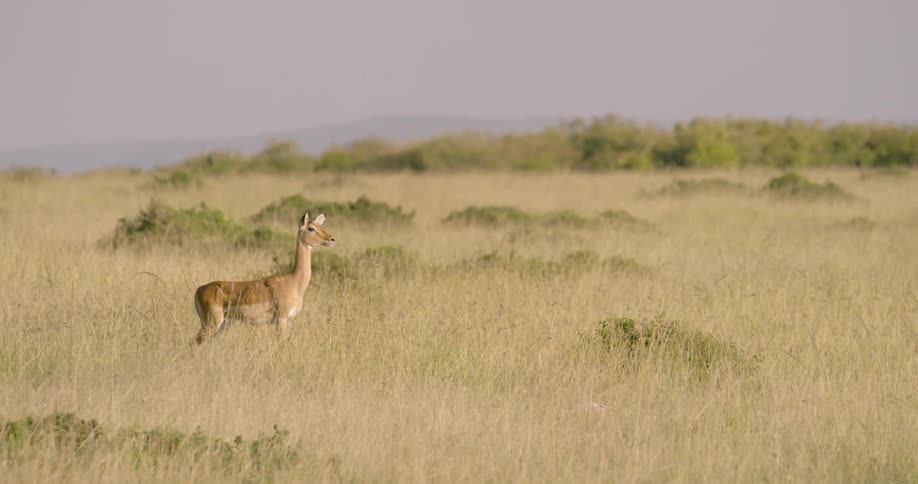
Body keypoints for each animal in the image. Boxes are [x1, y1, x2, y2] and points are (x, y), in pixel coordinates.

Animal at [192, 212, 336, 345]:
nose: (332, 239)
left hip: (222, 325)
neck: (294, 282)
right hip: (211, 323)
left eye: (320, 226)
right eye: (311, 228)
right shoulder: (281, 319)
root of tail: (199, 289)